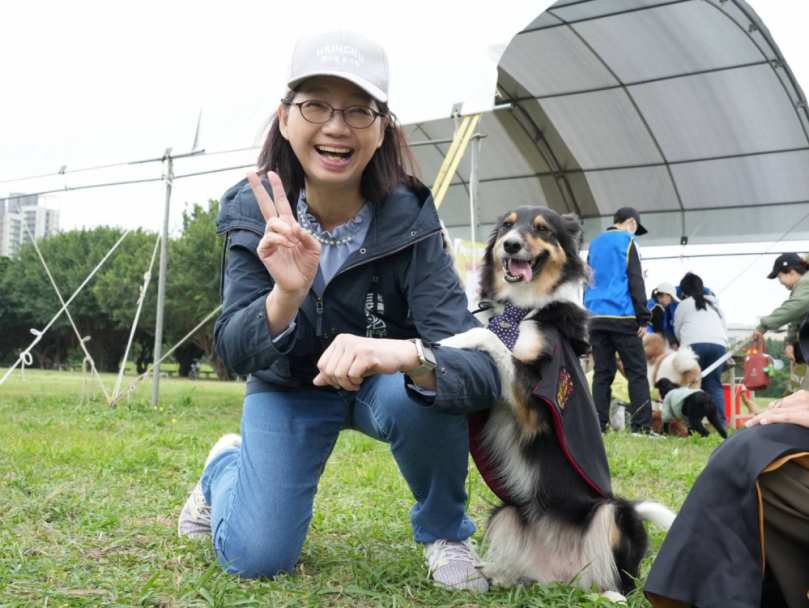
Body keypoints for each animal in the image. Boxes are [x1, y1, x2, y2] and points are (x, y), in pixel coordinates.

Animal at [438, 207, 672, 596]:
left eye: (543, 229)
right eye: (506, 226)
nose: (510, 245)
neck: (522, 307)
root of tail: (564, 577)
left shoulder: (537, 404)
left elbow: (487, 336)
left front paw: (451, 340)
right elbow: (487, 334)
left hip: (613, 512)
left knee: (620, 578)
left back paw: (612, 595)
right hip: (509, 510)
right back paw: (503, 574)